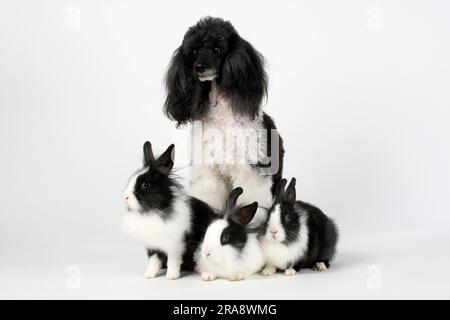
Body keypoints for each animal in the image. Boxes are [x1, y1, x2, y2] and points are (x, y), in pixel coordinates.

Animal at [121, 142, 216, 280]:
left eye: (145, 185)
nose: (125, 197)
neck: (155, 211)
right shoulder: (153, 246)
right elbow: (153, 261)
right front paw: (149, 275)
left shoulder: (175, 245)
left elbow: (173, 261)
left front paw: (171, 276)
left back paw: (206, 274)